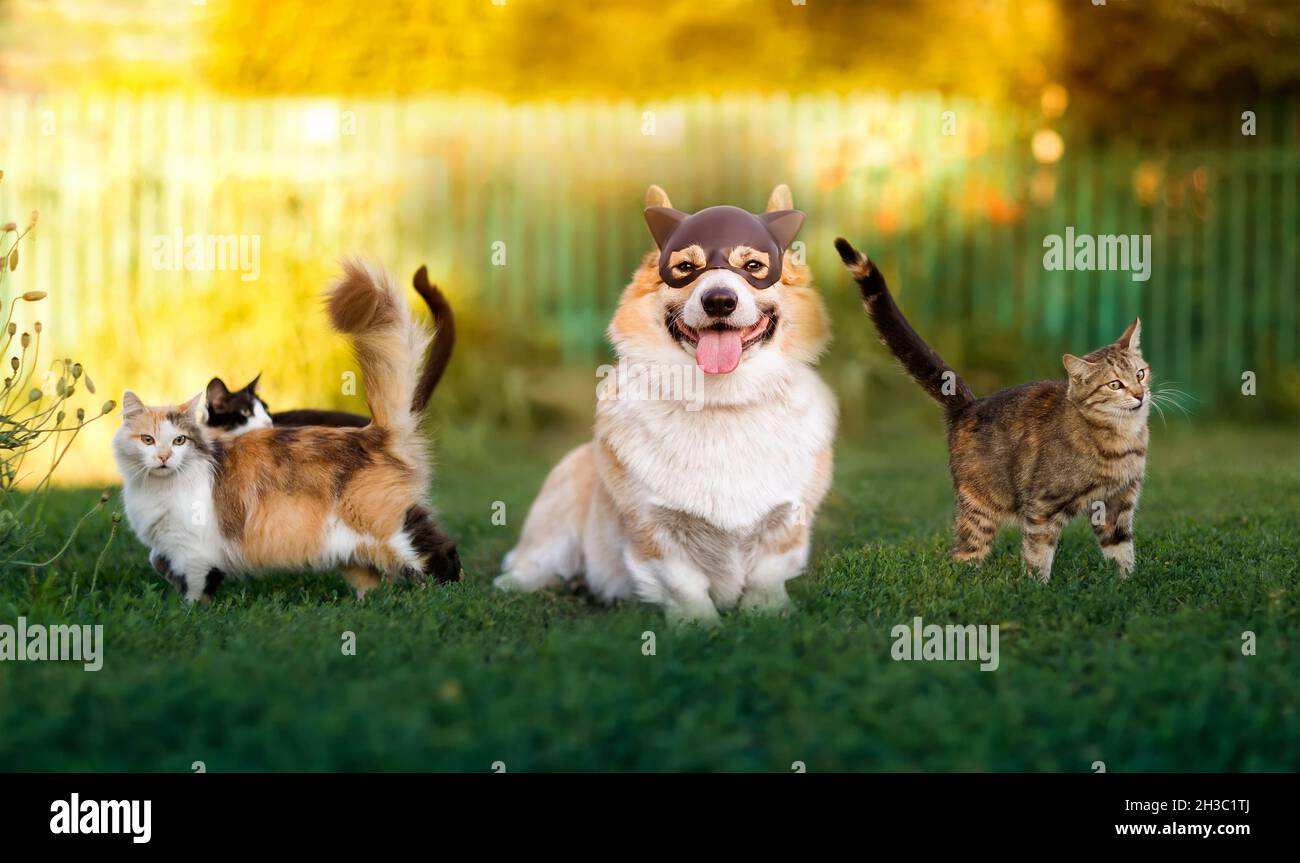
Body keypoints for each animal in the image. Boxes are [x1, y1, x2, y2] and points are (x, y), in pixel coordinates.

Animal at [114, 259, 462, 603]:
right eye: (148, 440)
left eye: (179, 440)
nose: (163, 457)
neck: (155, 489)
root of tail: (373, 432)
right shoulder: (170, 546)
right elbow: (159, 562)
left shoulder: (195, 551)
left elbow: (195, 589)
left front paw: (192, 610)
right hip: (353, 550)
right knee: (376, 579)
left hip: (389, 528)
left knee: (441, 552)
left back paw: (446, 597)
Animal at [491, 185, 837, 623]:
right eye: (686, 267)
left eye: (754, 266)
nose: (719, 300)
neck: (720, 403)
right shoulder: (654, 528)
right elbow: (683, 583)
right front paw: (699, 625)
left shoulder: (787, 519)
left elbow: (768, 573)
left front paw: (767, 614)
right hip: (558, 513)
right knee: (530, 565)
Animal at [832, 239, 1149, 582]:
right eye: (1115, 384)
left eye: (1140, 374)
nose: (1140, 394)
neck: (1121, 440)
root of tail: (970, 404)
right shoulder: (1043, 505)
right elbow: (1038, 553)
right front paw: (1037, 587)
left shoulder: (1118, 503)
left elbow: (1121, 549)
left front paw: (1127, 581)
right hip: (980, 506)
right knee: (964, 551)